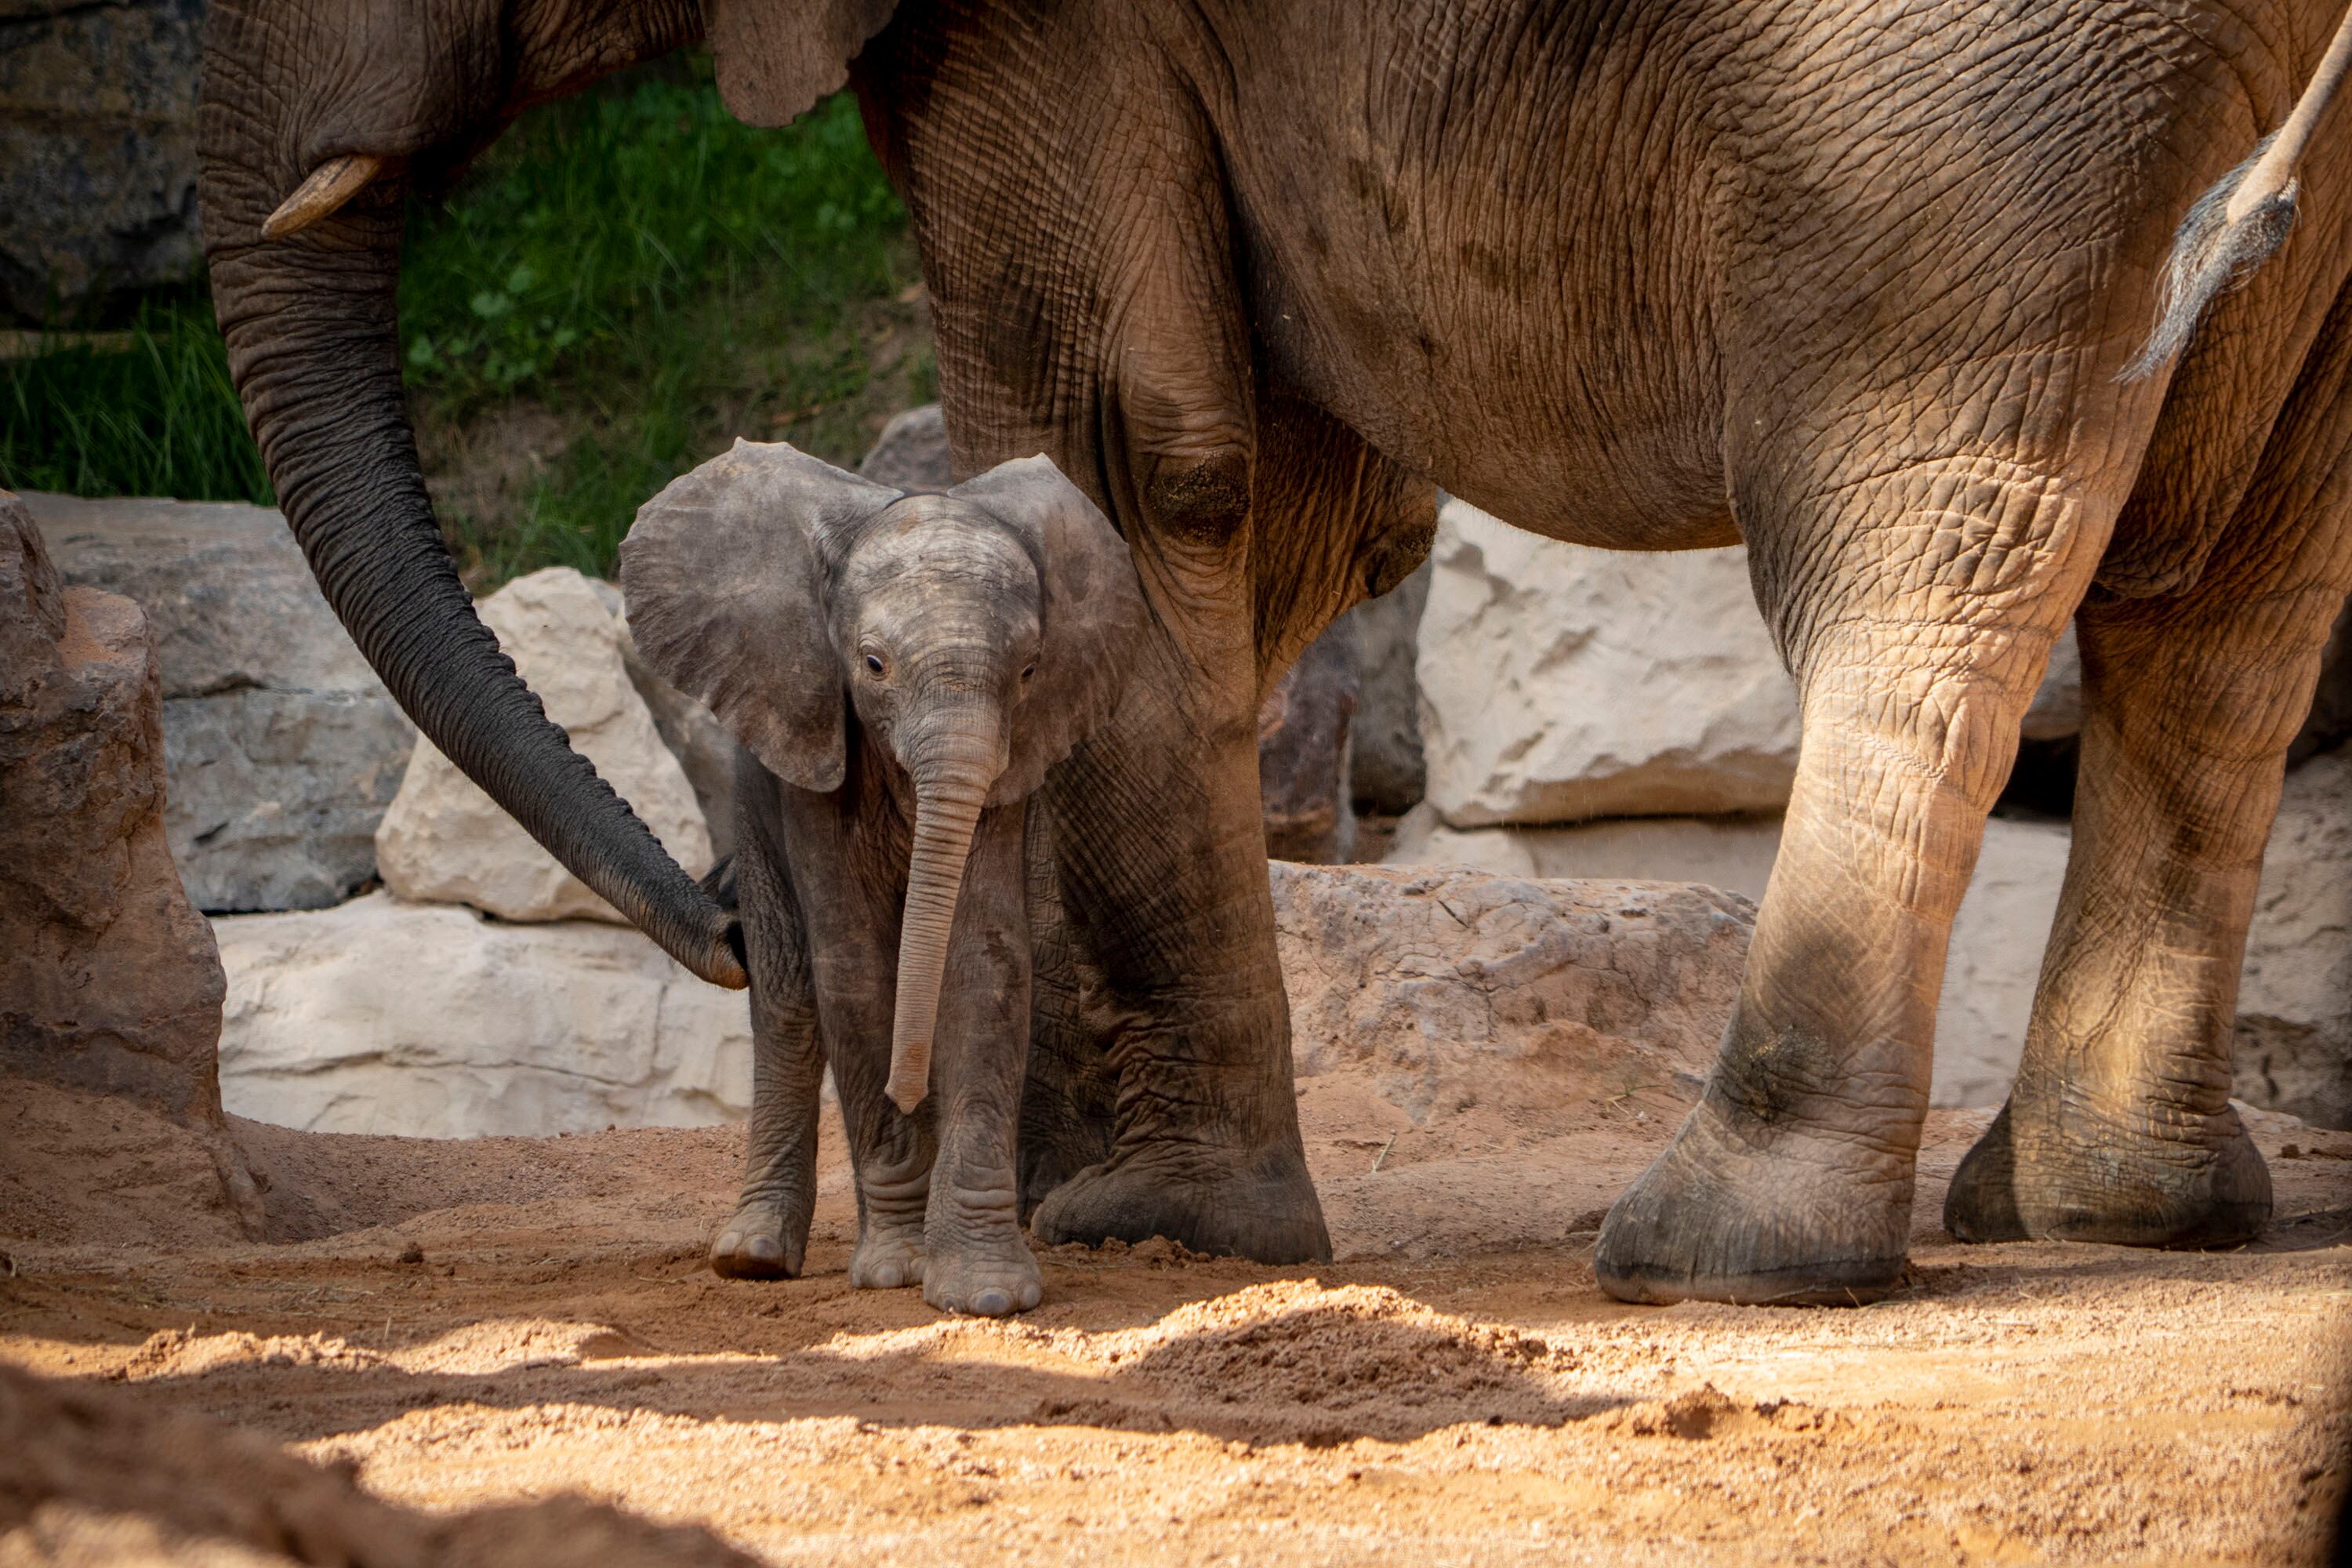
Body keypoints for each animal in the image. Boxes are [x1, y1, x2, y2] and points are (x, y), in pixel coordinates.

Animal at [621, 434, 1143, 1316]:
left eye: (1030, 672)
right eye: (871, 664)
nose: (905, 1091)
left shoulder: (1009, 770)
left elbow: (982, 965)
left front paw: (984, 1291)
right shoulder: (811, 756)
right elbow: (856, 971)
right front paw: (897, 1268)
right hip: (754, 799)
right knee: (789, 1001)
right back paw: (752, 1257)